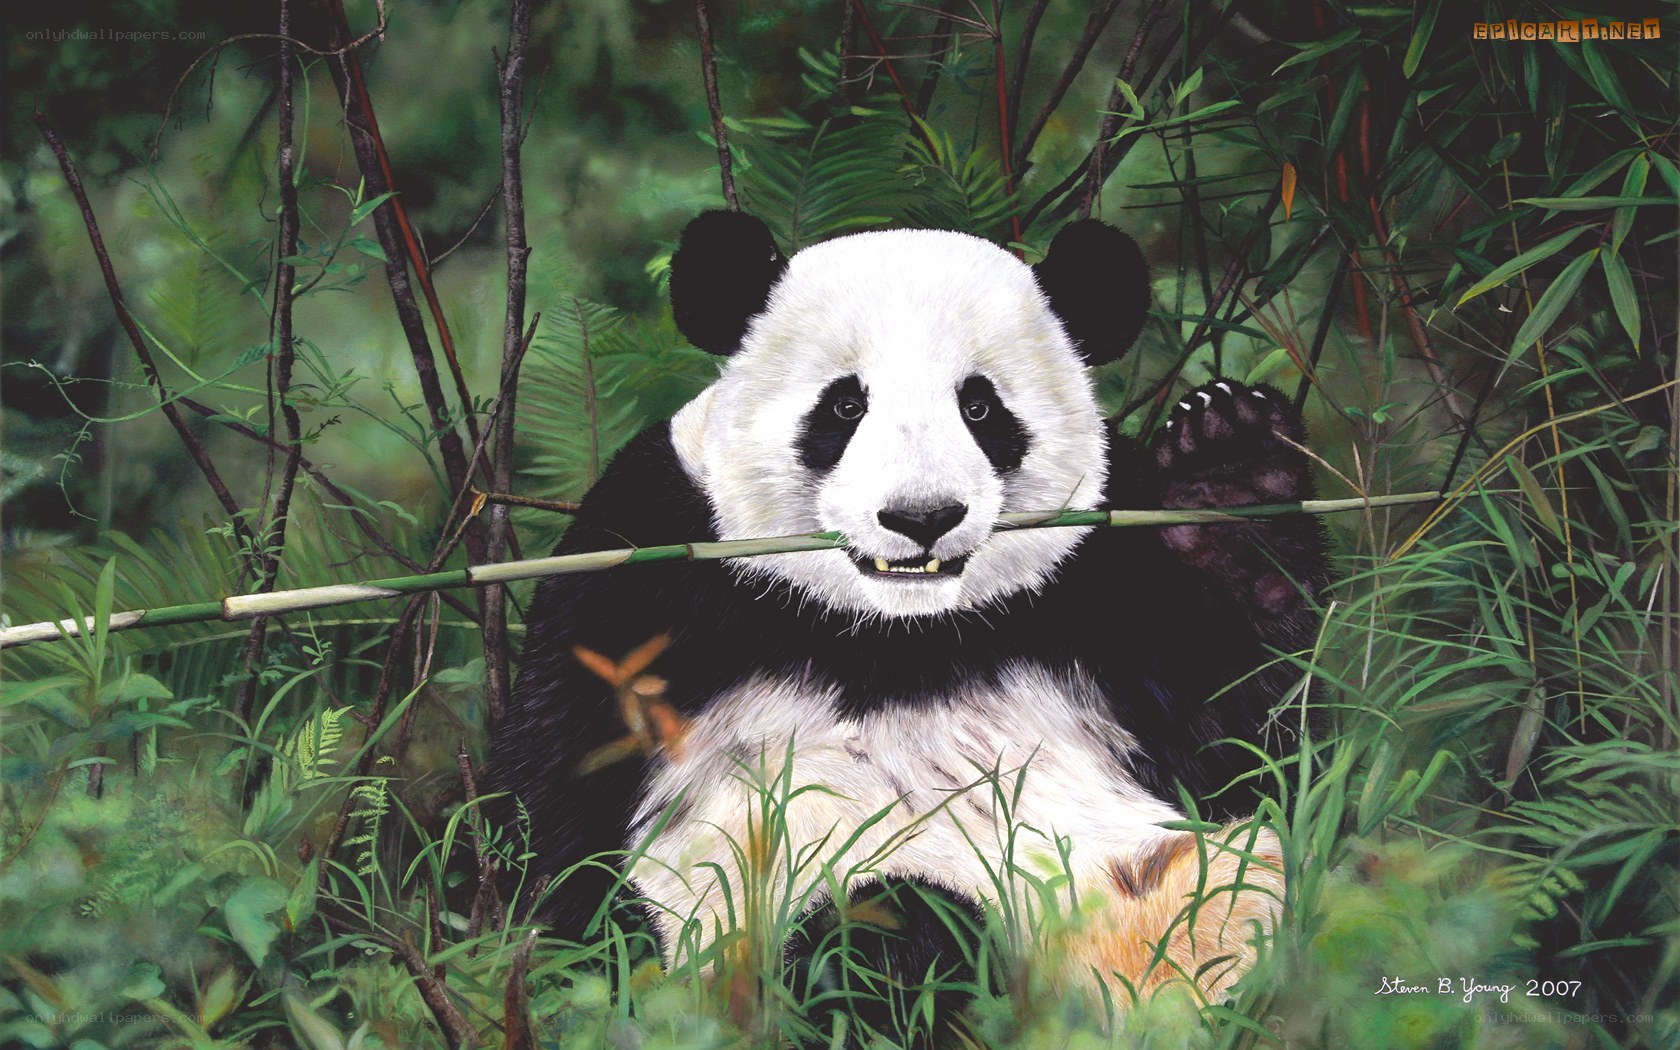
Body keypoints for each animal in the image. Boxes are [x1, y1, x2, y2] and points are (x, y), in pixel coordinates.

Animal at [488, 210, 1326, 1030]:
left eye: (980, 406)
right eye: (844, 405)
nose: (923, 517)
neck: (898, 633)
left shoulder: (1104, 590)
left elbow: (1249, 735)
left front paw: (1231, 469)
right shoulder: (649, 564)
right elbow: (562, 799)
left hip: (1186, 893)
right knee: (882, 926)